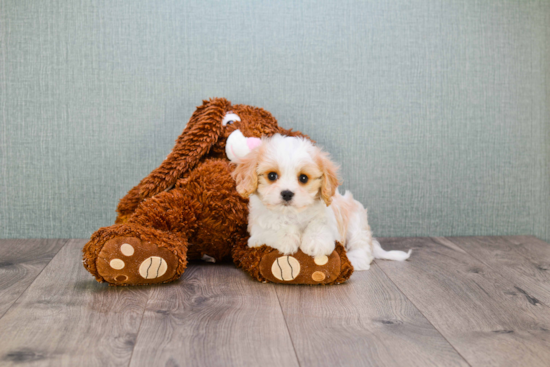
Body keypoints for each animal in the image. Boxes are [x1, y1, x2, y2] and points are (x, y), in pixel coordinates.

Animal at [231, 134, 412, 270]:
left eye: (303, 178)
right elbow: (274, 227)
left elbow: (319, 224)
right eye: (272, 176)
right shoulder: (256, 233)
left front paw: (316, 243)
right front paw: (287, 238)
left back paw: (354, 260)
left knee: (361, 247)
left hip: (357, 223)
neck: (291, 214)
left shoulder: (328, 216)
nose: (287, 193)